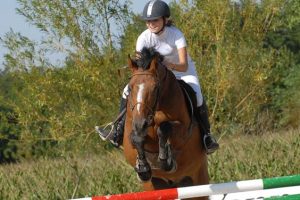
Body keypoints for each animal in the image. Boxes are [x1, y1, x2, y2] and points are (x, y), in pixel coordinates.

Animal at [122, 47, 209, 200]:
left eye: (155, 88)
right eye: (130, 88)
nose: (141, 123)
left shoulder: (184, 132)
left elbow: (164, 128)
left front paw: (166, 161)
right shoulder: (132, 131)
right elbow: (136, 137)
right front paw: (143, 168)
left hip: (199, 179)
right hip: (154, 187)